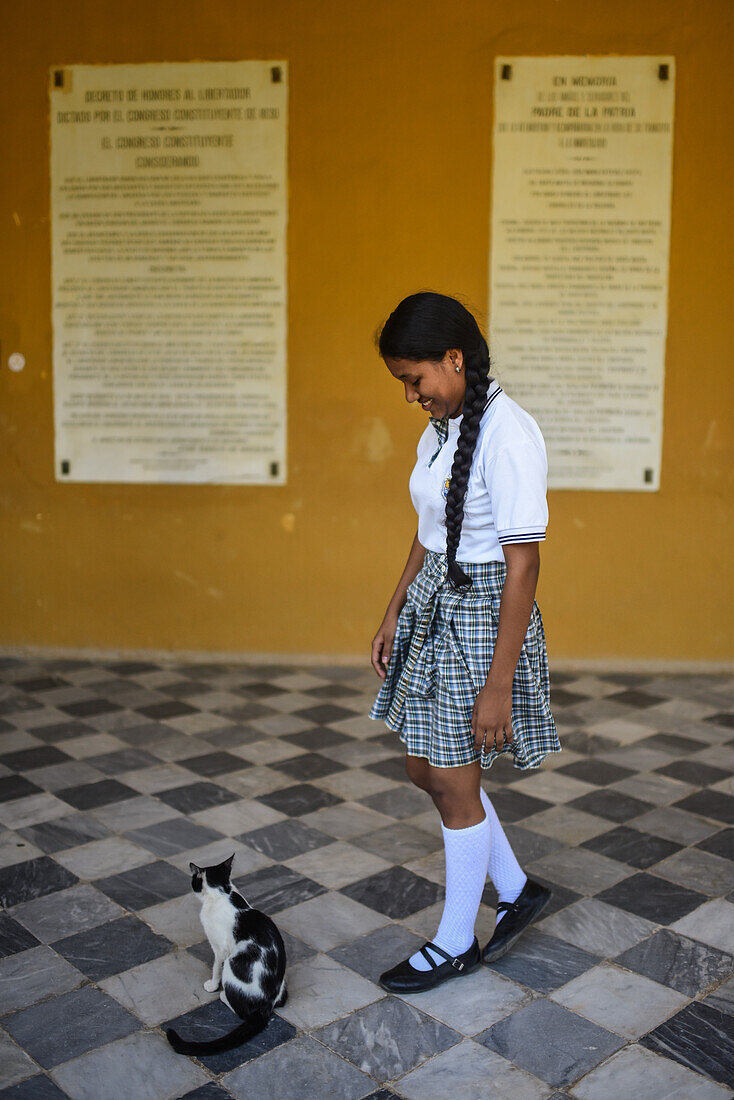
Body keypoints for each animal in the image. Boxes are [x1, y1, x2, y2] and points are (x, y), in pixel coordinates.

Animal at [165, 849, 288, 1056]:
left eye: (194, 880)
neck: (223, 893)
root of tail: (267, 1004)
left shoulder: (220, 948)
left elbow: (215, 967)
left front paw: (212, 985)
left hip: (232, 964)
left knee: (241, 1010)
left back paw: (223, 995)